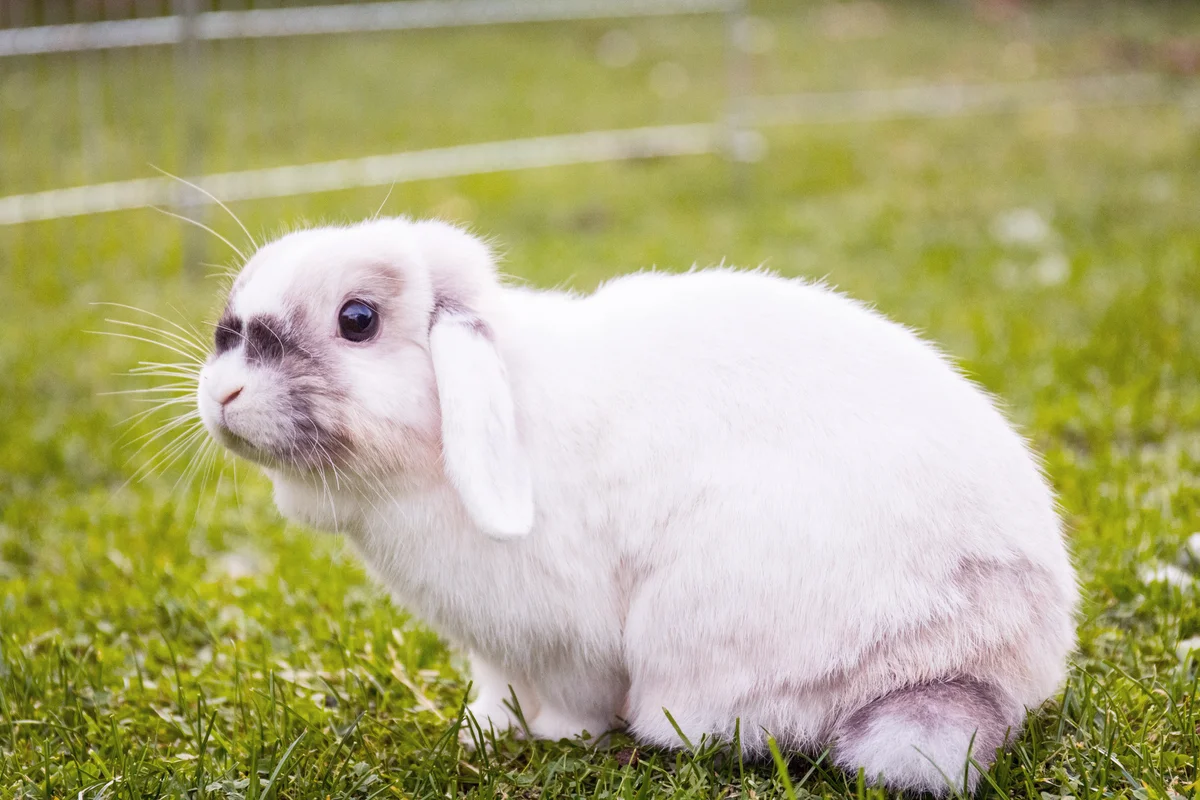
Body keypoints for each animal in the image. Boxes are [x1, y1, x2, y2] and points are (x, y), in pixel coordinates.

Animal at [196, 217, 1078, 795]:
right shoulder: (494, 650)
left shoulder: (564, 640)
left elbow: (574, 697)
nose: (223, 393)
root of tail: (978, 660)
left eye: (358, 320)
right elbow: (496, 689)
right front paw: (484, 727)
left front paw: (553, 735)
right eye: (227, 329)